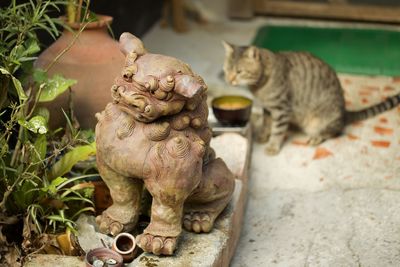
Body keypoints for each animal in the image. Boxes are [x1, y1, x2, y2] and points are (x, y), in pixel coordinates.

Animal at [222, 41, 400, 155]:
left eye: (239, 71)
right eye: (226, 70)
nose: (229, 80)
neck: (259, 86)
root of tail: (344, 112)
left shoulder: (282, 109)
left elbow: (277, 130)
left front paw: (273, 146)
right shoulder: (268, 108)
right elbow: (267, 124)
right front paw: (264, 136)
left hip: (319, 122)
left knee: (334, 131)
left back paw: (316, 137)